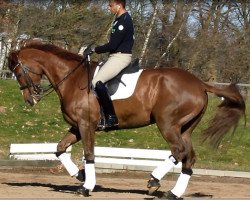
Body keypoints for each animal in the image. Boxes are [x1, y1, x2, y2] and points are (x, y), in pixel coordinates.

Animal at [7, 40, 246, 198]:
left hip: (167, 124)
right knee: (189, 157)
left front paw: (87, 186)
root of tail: (199, 83)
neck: (73, 79)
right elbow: (59, 148)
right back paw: (174, 192)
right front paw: (80, 176)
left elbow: (89, 154)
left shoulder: (86, 126)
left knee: (178, 151)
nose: (30, 99)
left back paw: (154, 180)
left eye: (17, 72)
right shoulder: (76, 127)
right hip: (185, 128)